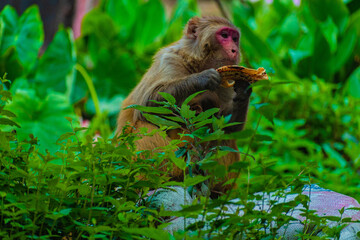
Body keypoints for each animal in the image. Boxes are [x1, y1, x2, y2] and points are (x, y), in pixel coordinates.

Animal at [116, 15, 252, 195]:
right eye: (224, 35)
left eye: (235, 38)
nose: (235, 50)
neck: (198, 63)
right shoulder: (169, 60)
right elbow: (148, 104)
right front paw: (202, 79)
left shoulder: (226, 85)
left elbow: (228, 126)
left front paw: (244, 89)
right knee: (143, 126)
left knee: (222, 134)